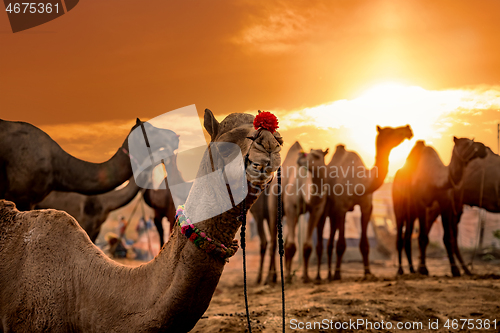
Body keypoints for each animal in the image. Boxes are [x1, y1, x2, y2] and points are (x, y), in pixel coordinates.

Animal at [322, 126, 412, 278]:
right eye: (390, 131)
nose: (408, 129)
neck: (360, 182)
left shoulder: (366, 207)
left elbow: (365, 244)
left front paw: (368, 272)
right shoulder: (342, 207)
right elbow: (341, 244)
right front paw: (338, 274)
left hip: (334, 213)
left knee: (331, 238)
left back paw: (329, 273)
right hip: (328, 210)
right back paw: (329, 274)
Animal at [404, 137, 486, 274]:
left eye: (472, 140)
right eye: (467, 143)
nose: (483, 148)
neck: (435, 179)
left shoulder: (446, 202)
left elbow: (448, 238)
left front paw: (455, 270)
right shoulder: (421, 203)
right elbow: (423, 237)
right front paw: (423, 269)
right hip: (409, 206)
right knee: (411, 233)